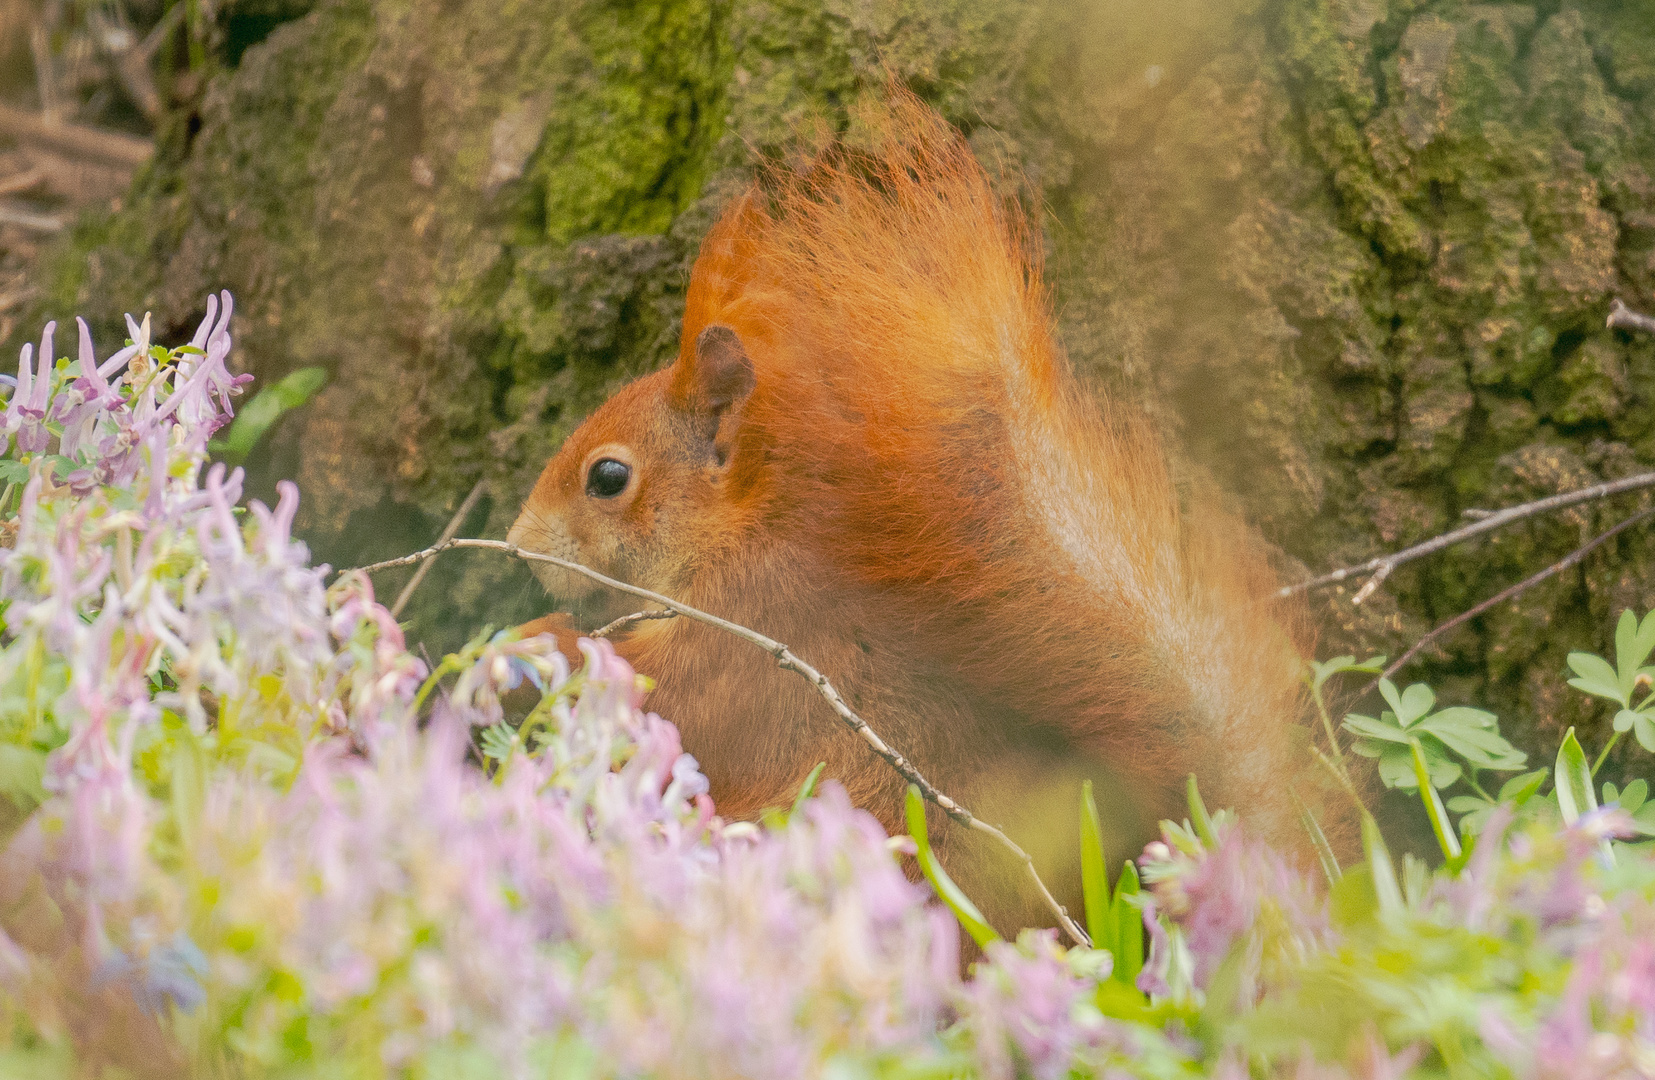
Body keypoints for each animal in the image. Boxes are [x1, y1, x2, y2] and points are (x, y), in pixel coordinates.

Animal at [509, 96, 1324, 932]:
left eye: (608, 477)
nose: (518, 546)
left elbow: (670, 699)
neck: (732, 534)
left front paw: (535, 643)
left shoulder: (754, 629)